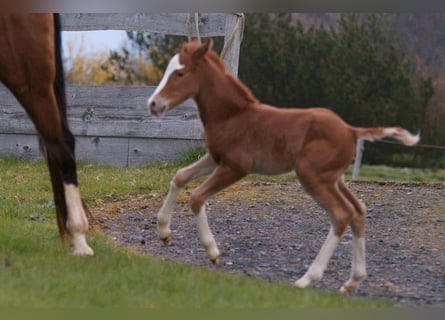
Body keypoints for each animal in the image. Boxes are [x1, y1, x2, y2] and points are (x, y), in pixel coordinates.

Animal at [147, 39, 418, 292]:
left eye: (179, 73)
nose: (153, 104)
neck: (232, 116)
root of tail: (351, 130)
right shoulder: (215, 158)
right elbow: (180, 176)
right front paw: (163, 232)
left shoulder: (236, 167)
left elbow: (196, 197)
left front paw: (212, 251)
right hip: (334, 178)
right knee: (358, 211)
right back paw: (353, 281)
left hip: (311, 175)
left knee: (341, 215)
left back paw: (308, 279)